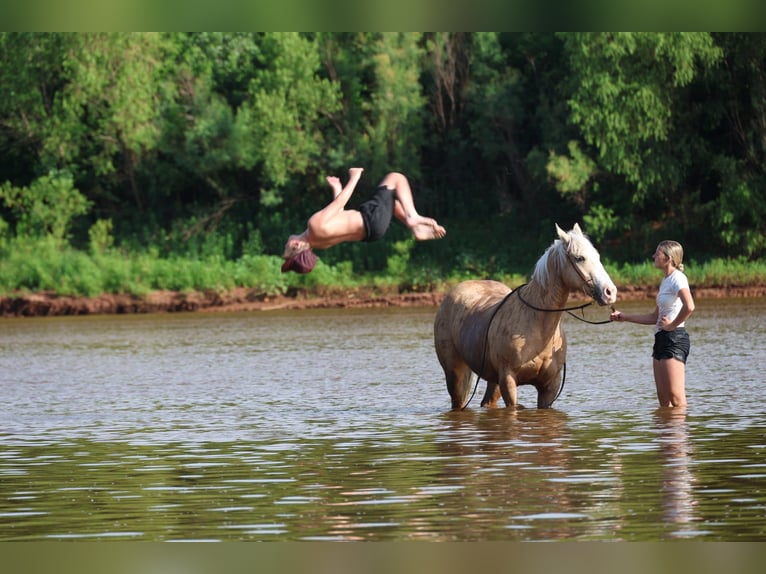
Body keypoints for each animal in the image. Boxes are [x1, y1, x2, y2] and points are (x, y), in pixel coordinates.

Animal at [433, 223, 617, 410]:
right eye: (579, 258)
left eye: (597, 256)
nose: (610, 292)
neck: (537, 326)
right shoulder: (508, 381)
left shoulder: (549, 387)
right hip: (456, 374)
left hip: (493, 380)